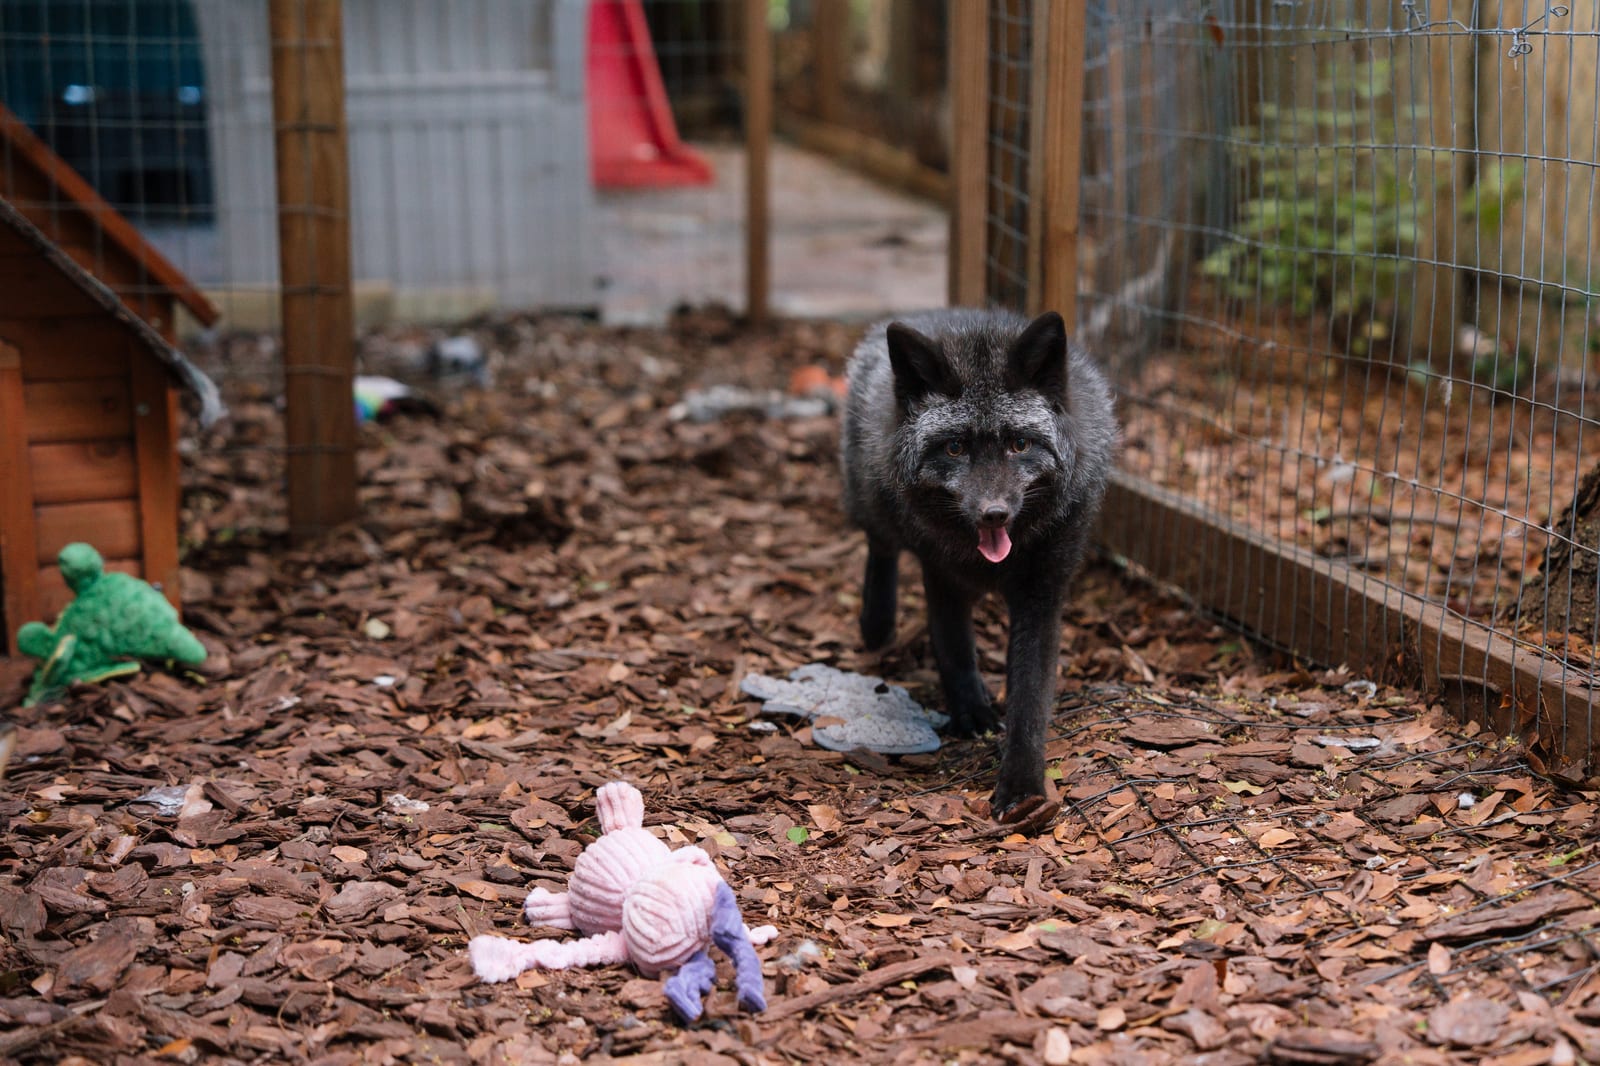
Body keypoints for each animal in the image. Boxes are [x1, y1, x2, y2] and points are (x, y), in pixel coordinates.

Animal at [840, 308, 1118, 821]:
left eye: (1019, 444)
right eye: (954, 448)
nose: (994, 514)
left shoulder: (1042, 594)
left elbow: (1030, 696)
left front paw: (1022, 784)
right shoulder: (940, 575)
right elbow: (953, 648)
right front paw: (970, 710)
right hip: (871, 497)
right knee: (881, 545)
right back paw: (877, 622)